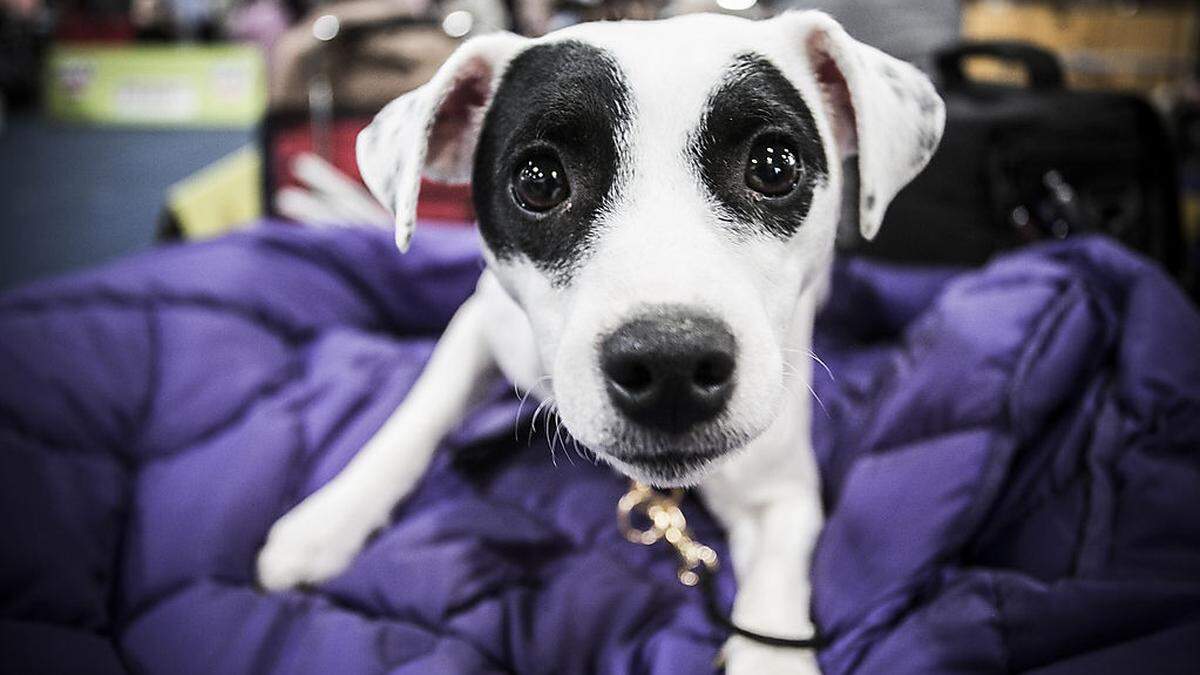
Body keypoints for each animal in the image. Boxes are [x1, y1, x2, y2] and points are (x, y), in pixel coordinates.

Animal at [258, 11, 940, 672]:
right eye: (538, 180)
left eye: (775, 166)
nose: (670, 363)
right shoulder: (484, 322)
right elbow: (417, 415)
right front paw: (328, 519)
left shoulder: (780, 492)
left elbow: (773, 599)